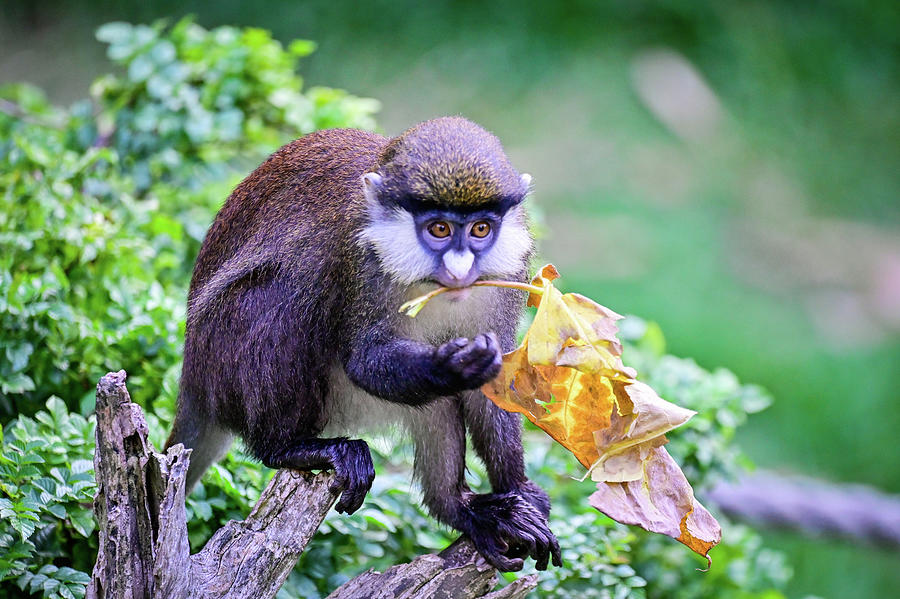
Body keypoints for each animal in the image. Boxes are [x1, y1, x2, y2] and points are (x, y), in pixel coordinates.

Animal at [165, 116, 560, 572]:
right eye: (439, 229)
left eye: (481, 229)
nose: (461, 269)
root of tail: (193, 381)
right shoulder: (361, 260)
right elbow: (365, 360)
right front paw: (450, 366)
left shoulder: (507, 277)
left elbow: (493, 387)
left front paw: (519, 491)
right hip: (223, 357)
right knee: (284, 290)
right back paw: (289, 446)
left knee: (439, 404)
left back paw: (458, 507)